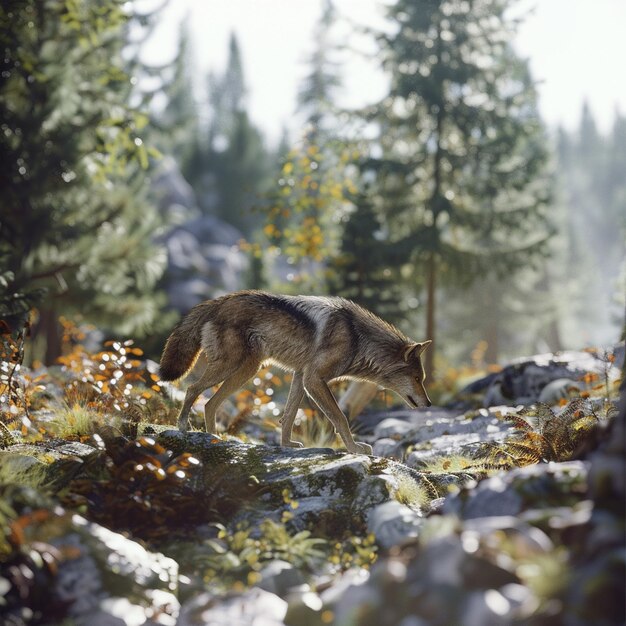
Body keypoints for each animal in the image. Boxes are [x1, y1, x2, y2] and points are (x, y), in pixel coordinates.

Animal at [158, 288, 428, 454]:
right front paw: (354, 449)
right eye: (417, 378)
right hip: (232, 368)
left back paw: (215, 440)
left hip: (246, 371)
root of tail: (217, 301)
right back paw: (183, 426)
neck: (358, 338)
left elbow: (288, 416)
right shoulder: (313, 379)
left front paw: (286, 444)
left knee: (209, 403)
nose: (429, 403)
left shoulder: (301, 376)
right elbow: (340, 418)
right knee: (192, 389)